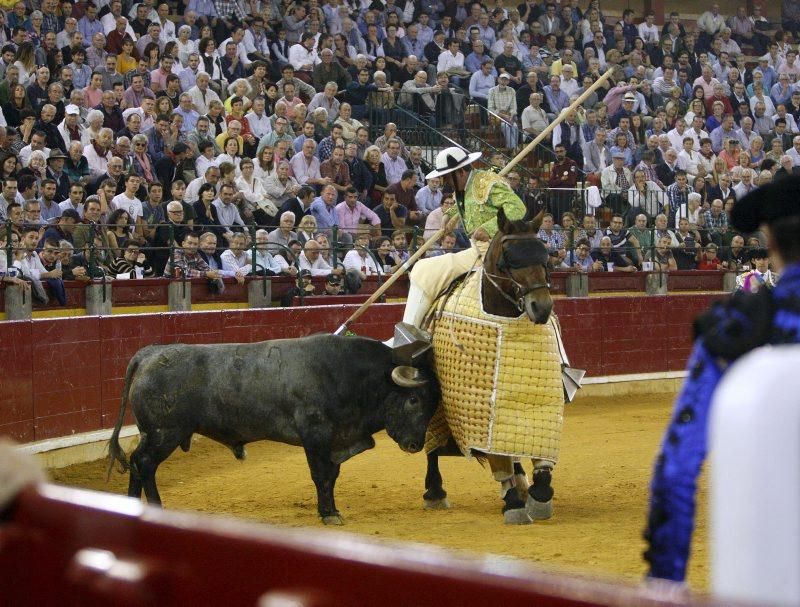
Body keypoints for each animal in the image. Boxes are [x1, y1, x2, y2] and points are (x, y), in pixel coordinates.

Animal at [107, 334, 440, 524]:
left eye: (432, 404)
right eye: (413, 399)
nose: (415, 444)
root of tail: (150, 354)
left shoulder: (334, 441)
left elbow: (332, 476)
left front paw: (330, 509)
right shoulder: (315, 436)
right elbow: (321, 475)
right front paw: (328, 514)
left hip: (154, 434)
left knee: (136, 462)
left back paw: (131, 505)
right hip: (165, 433)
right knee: (145, 463)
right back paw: (156, 507)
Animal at [422, 207, 560, 524]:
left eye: (545, 256)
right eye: (508, 260)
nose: (542, 307)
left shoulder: (540, 410)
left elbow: (540, 457)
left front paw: (538, 495)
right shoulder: (480, 411)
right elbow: (498, 461)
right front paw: (513, 503)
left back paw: (520, 481)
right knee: (432, 445)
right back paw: (435, 492)